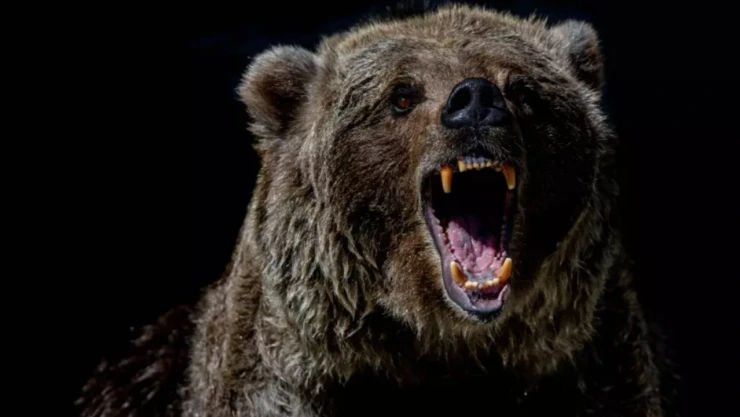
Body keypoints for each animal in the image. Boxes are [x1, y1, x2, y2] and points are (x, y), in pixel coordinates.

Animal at [77, 4, 674, 417]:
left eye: (524, 90)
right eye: (402, 96)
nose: (476, 100)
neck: (442, 343)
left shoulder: (586, 365)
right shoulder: (287, 379)